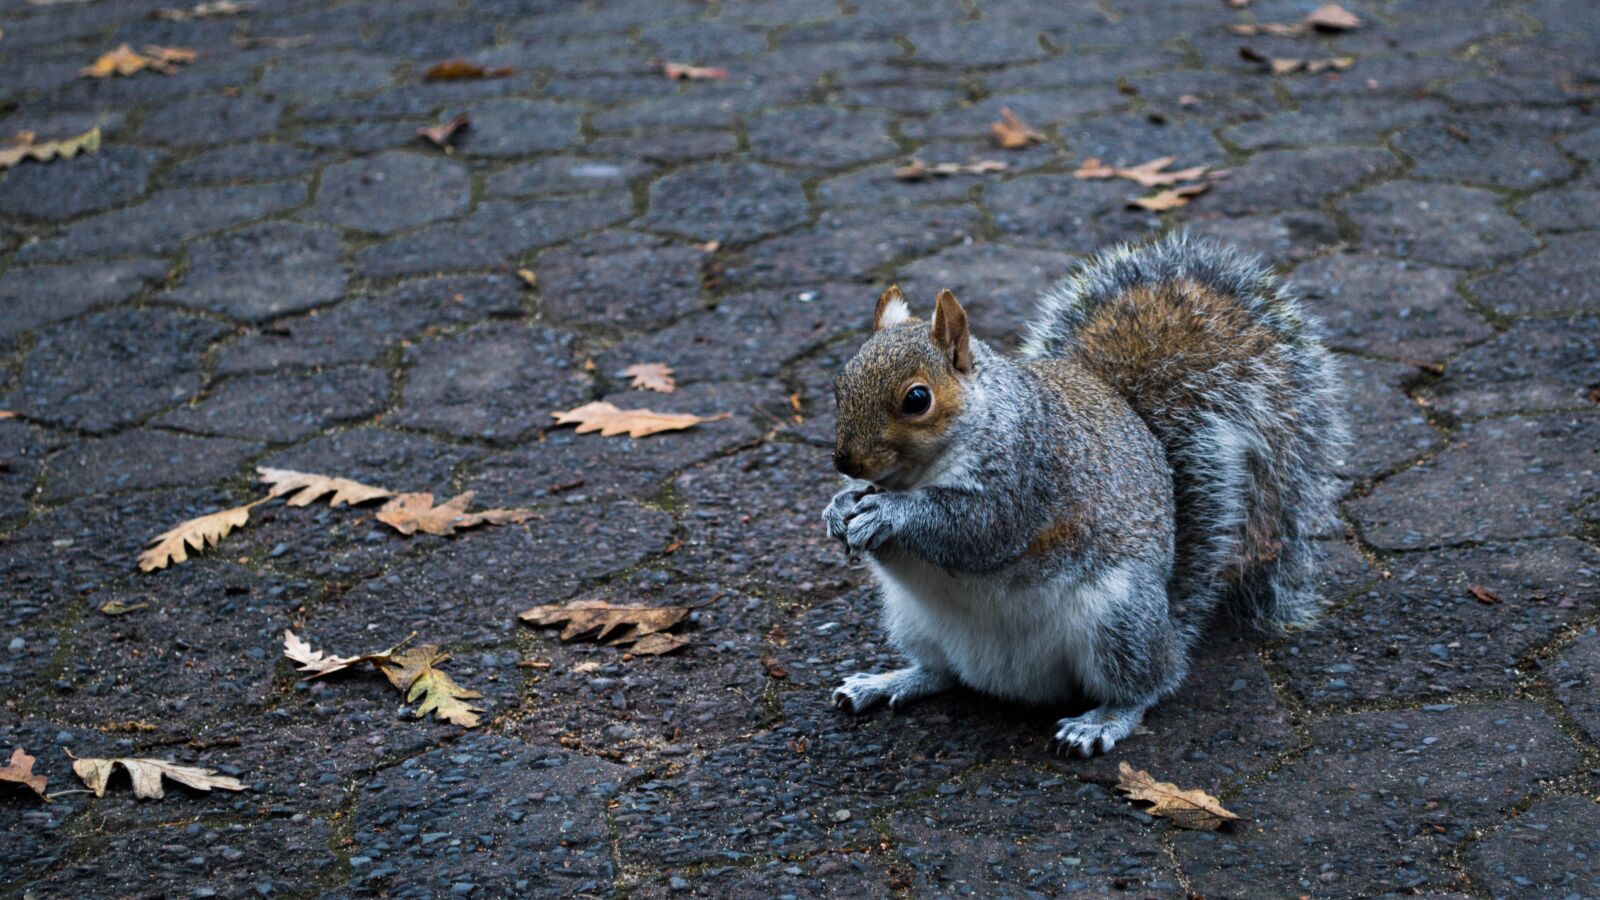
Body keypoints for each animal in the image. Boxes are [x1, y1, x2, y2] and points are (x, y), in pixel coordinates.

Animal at [822, 233, 1347, 756]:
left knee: (1151, 684)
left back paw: (1102, 721)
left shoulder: (1029, 474)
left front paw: (889, 513)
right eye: (839, 385)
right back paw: (886, 682)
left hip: (1119, 625)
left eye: (917, 399)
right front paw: (839, 508)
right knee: (941, 673)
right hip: (910, 620)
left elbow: (974, 529)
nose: (847, 464)